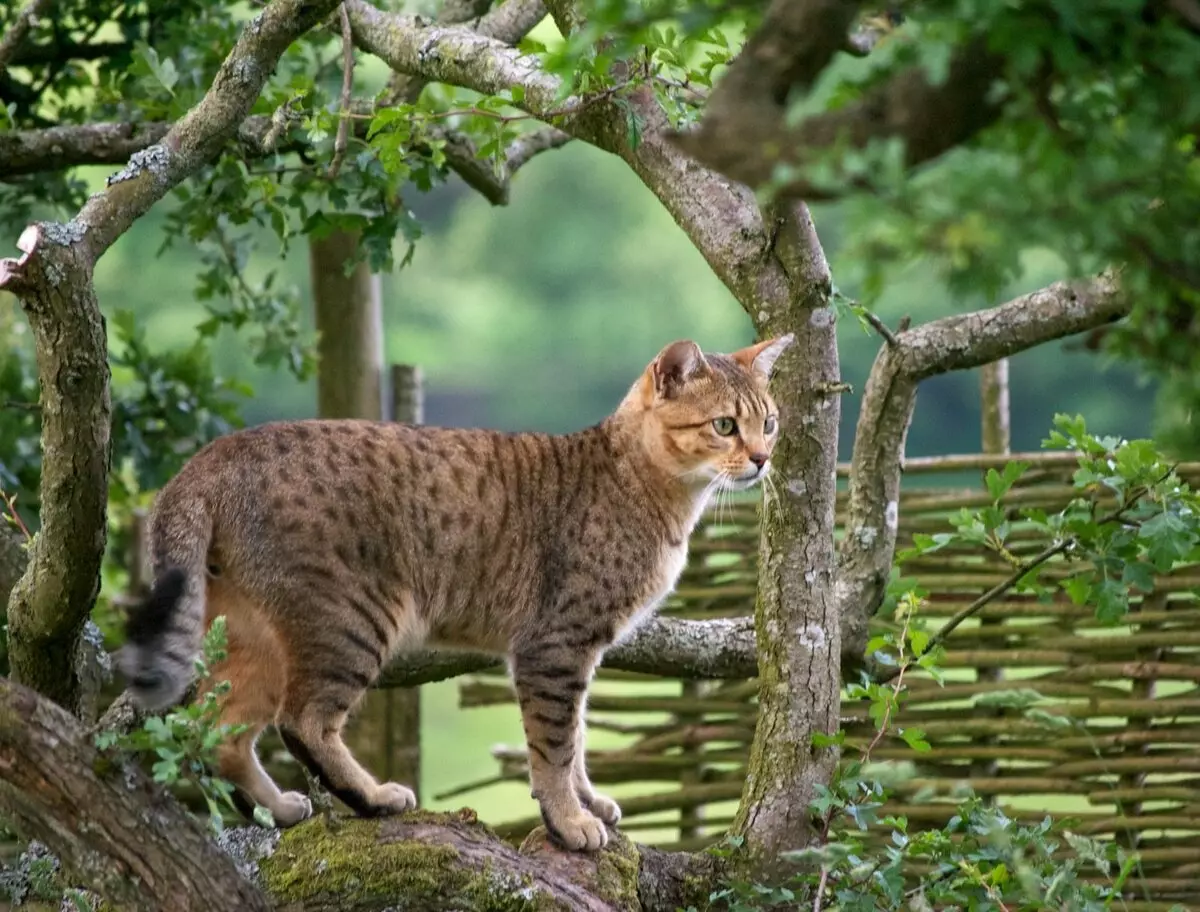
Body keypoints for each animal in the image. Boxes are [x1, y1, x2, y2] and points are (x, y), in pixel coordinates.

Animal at [119, 333, 796, 849]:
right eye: (724, 426)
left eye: (769, 422)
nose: (762, 459)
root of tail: (212, 455)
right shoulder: (556, 646)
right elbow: (553, 747)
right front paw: (570, 821)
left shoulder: (580, 653)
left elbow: (576, 741)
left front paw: (587, 802)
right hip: (351, 622)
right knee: (301, 721)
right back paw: (372, 797)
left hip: (255, 636)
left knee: (220, 730)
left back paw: (281, 808)